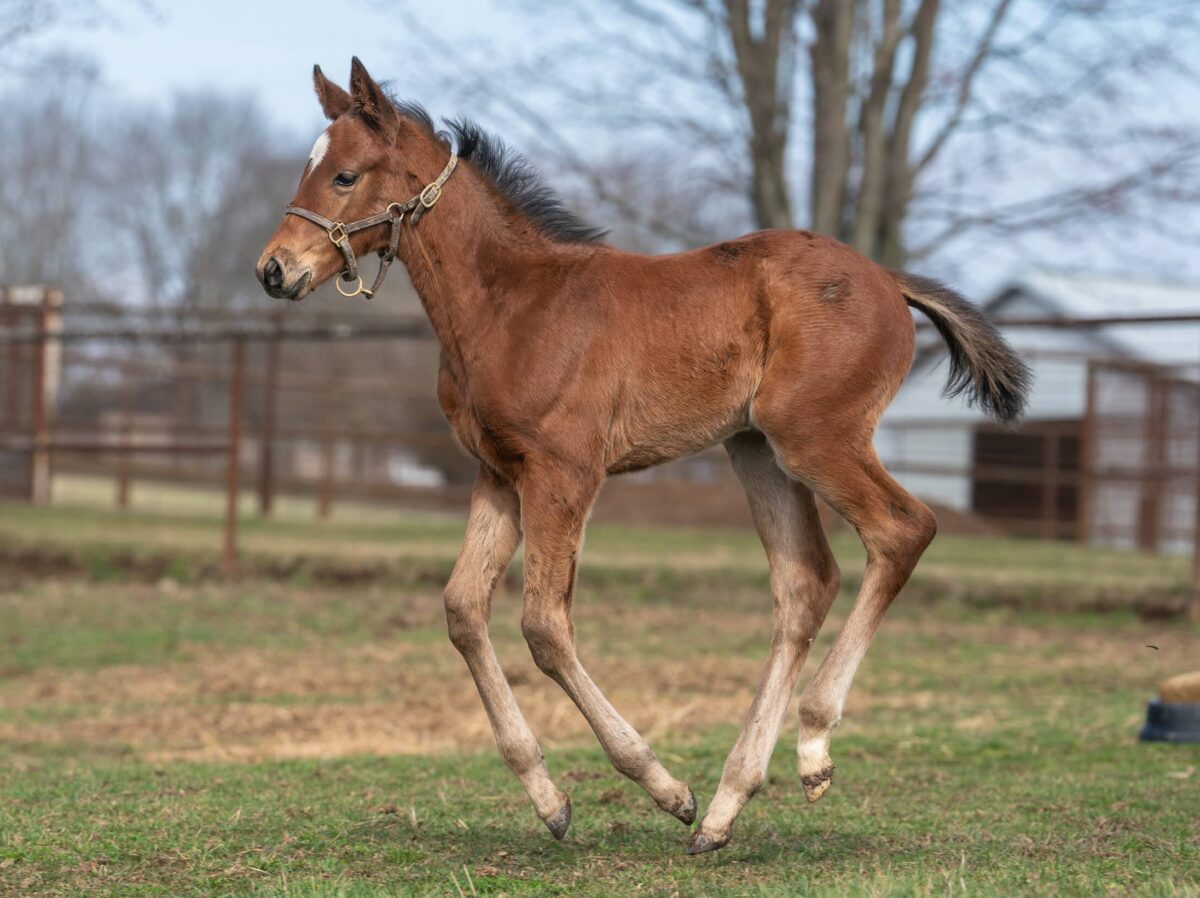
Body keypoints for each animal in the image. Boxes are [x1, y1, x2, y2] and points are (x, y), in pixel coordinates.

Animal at [258, 57, 1027, 854]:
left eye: (344, 175)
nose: (273, 270)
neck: (510, 304)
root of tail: (888, 280)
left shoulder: (565, 470)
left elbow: (543, 625)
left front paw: (663, 787)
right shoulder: (499, 471)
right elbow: (463, 609)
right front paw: (551, 800)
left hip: (815, 436)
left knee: (903, 530)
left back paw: (807, 750)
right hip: (756, 449)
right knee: (805, 583)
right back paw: (726, 806)